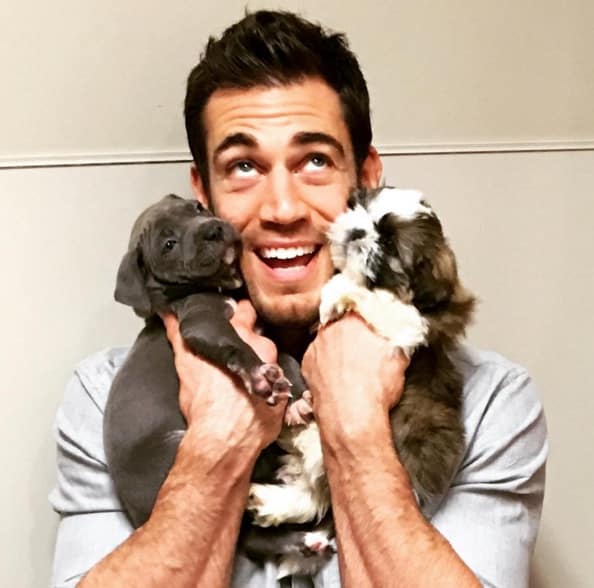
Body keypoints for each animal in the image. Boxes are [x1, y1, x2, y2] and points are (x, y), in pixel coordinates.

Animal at [245, 186, 476, 577]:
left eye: (389, 243)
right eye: (358, 207)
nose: (357, 232)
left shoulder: (410, 322)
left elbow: (375, 298)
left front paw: (337, 292)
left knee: (319, 484)